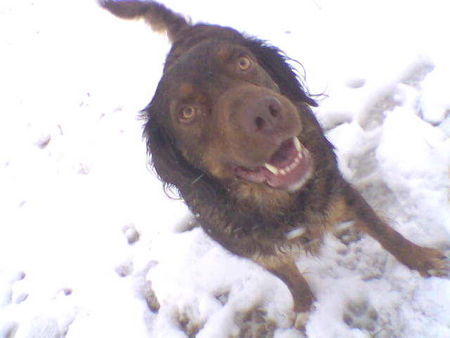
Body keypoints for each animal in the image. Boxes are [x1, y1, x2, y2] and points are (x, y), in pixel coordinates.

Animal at [100, 0, 448, 328]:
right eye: (187, 113)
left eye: (243, 62)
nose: (265, 114)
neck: (279, 201)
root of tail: (187, 31)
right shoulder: (254, 249)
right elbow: (289, 277)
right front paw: (306, 307)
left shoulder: (341, 194)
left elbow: (387, 234)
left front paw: (421, 259)